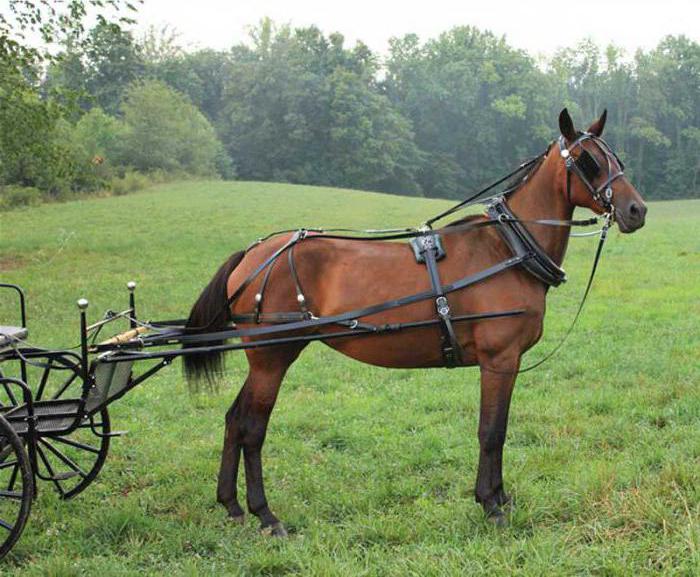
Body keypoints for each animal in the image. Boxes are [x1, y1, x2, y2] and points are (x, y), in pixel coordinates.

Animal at [182, 109, 644, 536]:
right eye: (588, 161)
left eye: (616, 157)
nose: (636, 210)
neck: (508, 249)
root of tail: (251, 256)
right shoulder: (499, 359)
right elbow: (491, 431)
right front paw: (490, 504)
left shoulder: (505, 363)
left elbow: (500, 429)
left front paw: (501, 497)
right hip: (272, 359)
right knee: (252, 428)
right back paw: (265, 514)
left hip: (266, 359)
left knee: (234, 419)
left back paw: (232, 505)